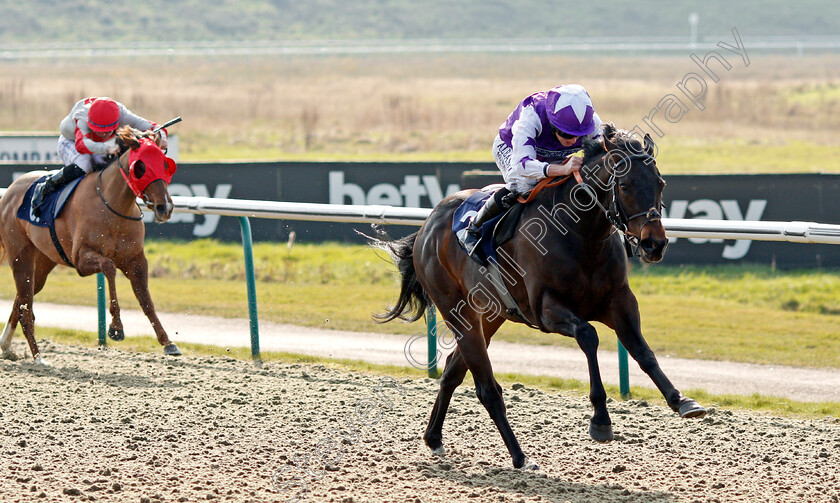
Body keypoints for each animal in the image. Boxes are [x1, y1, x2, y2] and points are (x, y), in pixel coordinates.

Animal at [0, 125, 182, 362]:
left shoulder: (136, 260)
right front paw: (116, 328)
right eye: (140, 167)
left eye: (165, 164)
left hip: (43, 261)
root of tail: (10, 191)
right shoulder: (81, 259)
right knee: (26, 305)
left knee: (22, 299)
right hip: (20, 255)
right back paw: (38, 356)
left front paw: (168, 342)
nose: (165, 207)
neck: (113, 206)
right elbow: (109, 268)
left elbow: (145, 299)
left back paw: (6, 345)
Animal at [374, 125, 704, 468]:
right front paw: (600, 419)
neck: (581, 235)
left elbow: (642, 351)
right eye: (624, 185)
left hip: (490, 315)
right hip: (456, 311)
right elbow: (589, 335)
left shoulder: (619, 301)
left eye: (660, 183)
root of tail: (427, 226)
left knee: (453, 369)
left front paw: (681, 400)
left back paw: (434, 438)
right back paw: (520, 457)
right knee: (486, 388)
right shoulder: (545, 308)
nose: (655, 244)